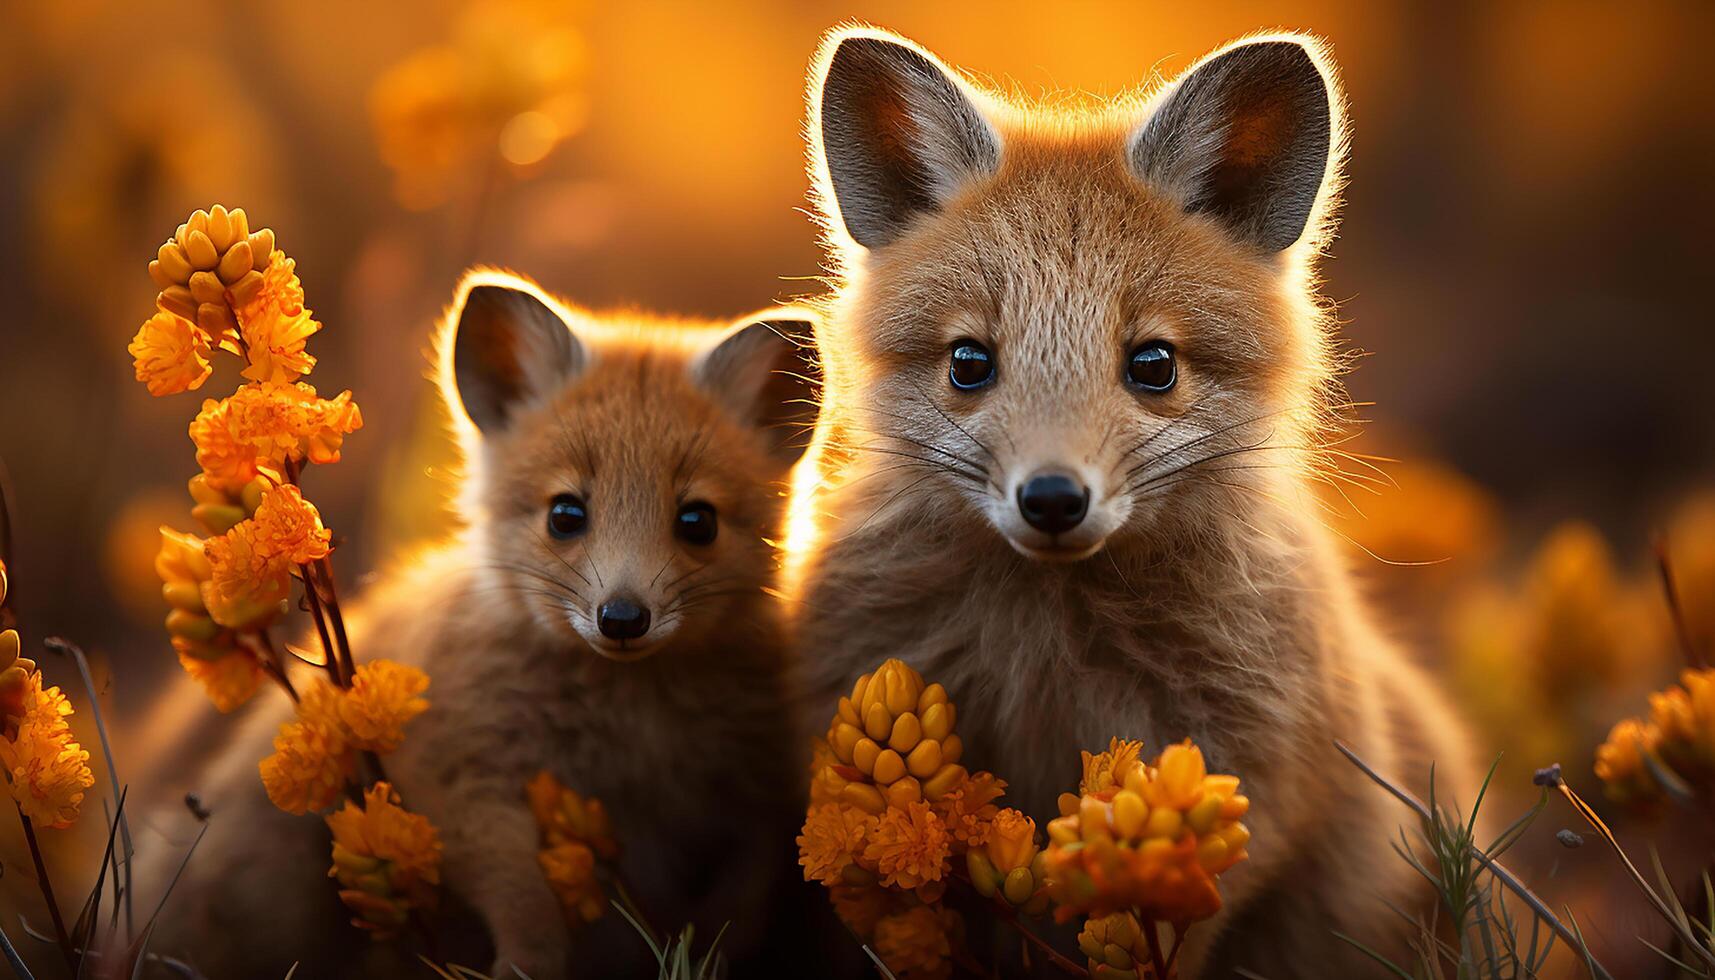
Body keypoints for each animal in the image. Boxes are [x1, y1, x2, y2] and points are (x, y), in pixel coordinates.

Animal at [137, 271, 819, 980]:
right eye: (566, 515)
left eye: (697, 522)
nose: (623, 618)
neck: (632, 739)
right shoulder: (456, 772)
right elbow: (526, 905)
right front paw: (527, 966)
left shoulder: (756, 803)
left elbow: (736, 914)